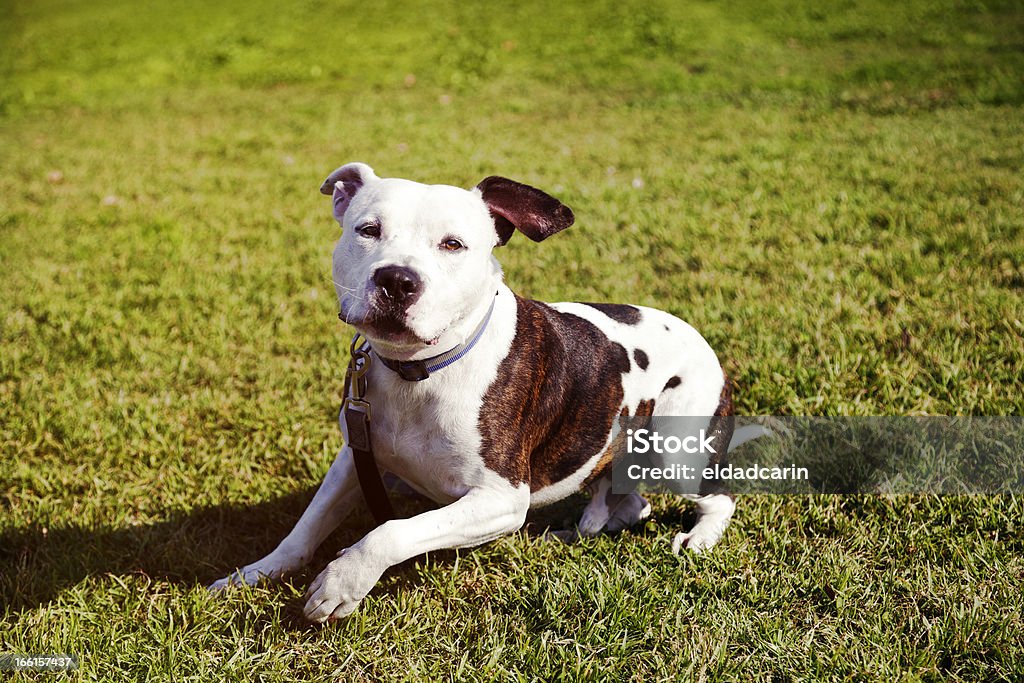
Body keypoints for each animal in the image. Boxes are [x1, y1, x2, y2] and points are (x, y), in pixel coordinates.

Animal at [209, 162, 753, 622]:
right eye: (368, 230)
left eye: (453, 244)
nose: (397, 279)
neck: (419, 371)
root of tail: (704, 343)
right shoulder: (355, 456)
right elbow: (306, 527)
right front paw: (254, 573)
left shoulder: (500, 499)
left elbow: (392, 531)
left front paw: (343, 581)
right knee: (630, 502)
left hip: (676, 455)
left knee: (719, 498)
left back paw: (698, 539)